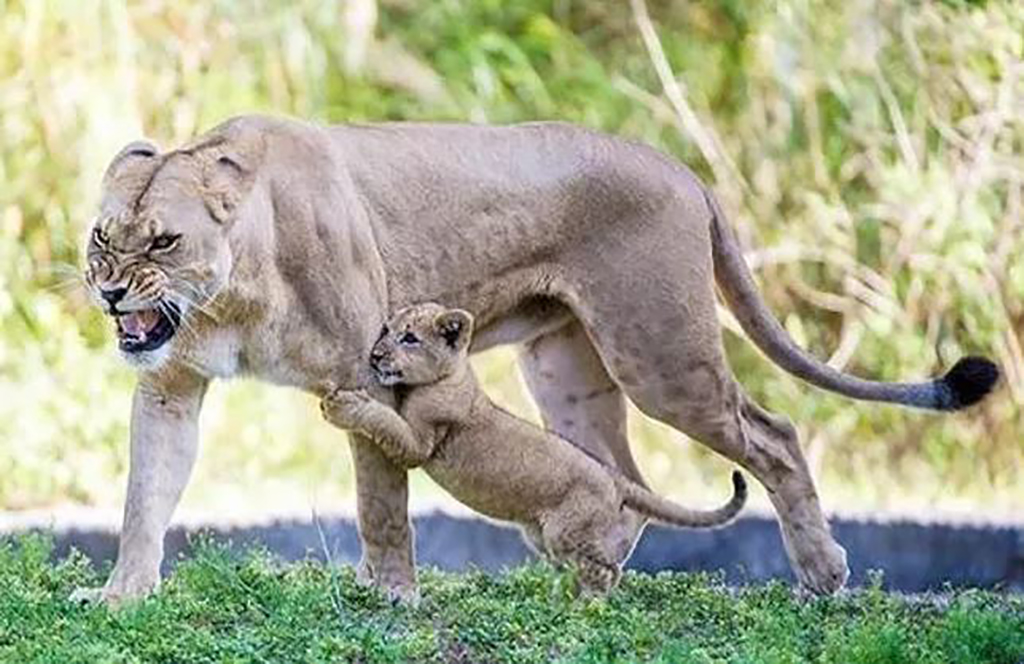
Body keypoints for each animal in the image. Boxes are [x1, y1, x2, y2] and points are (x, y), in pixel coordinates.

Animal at [320, 303, 748, 594]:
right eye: (386, 329)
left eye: (409, 338)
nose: (375, 355)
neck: (445, 376)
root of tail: (612, 478)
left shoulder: (421, 443)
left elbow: (386, 421)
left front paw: (342, 405)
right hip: (544, 536)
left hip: (565, 531)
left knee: (608, 568)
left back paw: (588, 606)